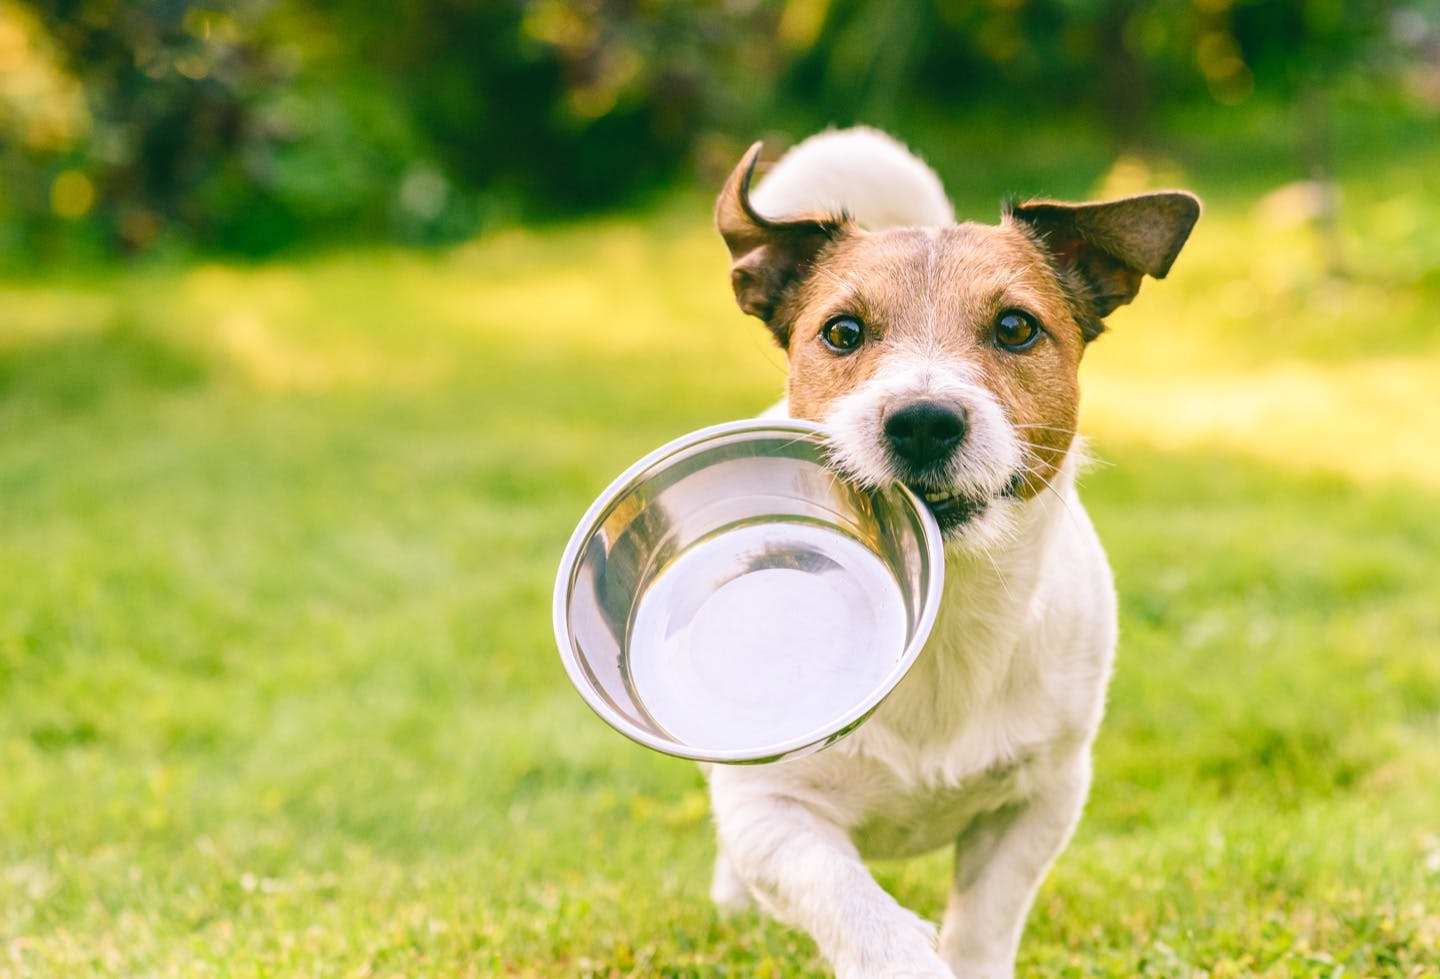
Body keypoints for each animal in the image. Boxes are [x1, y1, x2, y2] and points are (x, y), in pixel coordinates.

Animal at [702, 130, 1198, 979]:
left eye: (1015, 327)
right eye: (841, 332)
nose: (924, 421)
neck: (945, 616)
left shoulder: (1040, 800)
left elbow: (984, 923)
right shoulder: (772, 810)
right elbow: (850, 900)